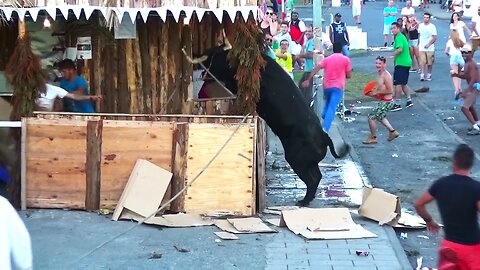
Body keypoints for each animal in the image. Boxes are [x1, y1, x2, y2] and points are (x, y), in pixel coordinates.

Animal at [194, 47, 348, 206]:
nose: (202, 71)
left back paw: (302, 201)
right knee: (318, 176)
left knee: (312, 180)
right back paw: (307, 200)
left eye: (213, 57)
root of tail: (324, 137)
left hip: (296, 159)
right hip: (309, 162)